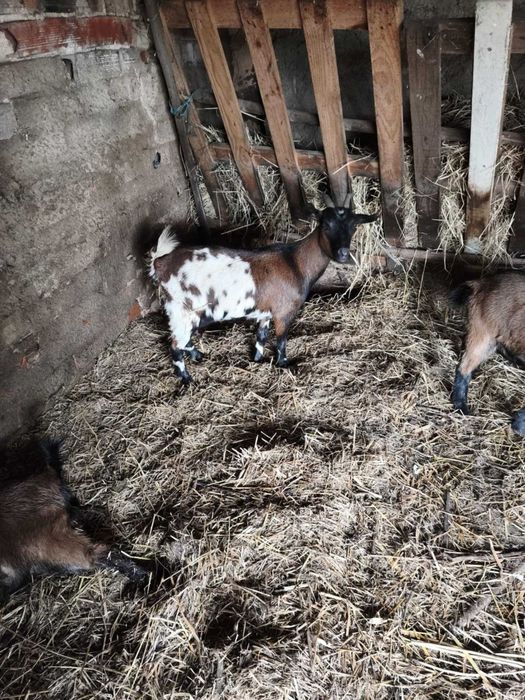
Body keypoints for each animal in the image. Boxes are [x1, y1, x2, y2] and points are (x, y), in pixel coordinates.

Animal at [150, 194, 377, 383]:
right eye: (326, 224)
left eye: (354, 227)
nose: (343, 254)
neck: (294, 262)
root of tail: (161, 262)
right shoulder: (284, 313)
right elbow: (281, 341)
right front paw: (283, 364)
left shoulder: (264, 314)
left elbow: (261, 338)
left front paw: (257, 359)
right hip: (183, 309)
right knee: (175, 345)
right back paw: (186, 379)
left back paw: (197, 356)